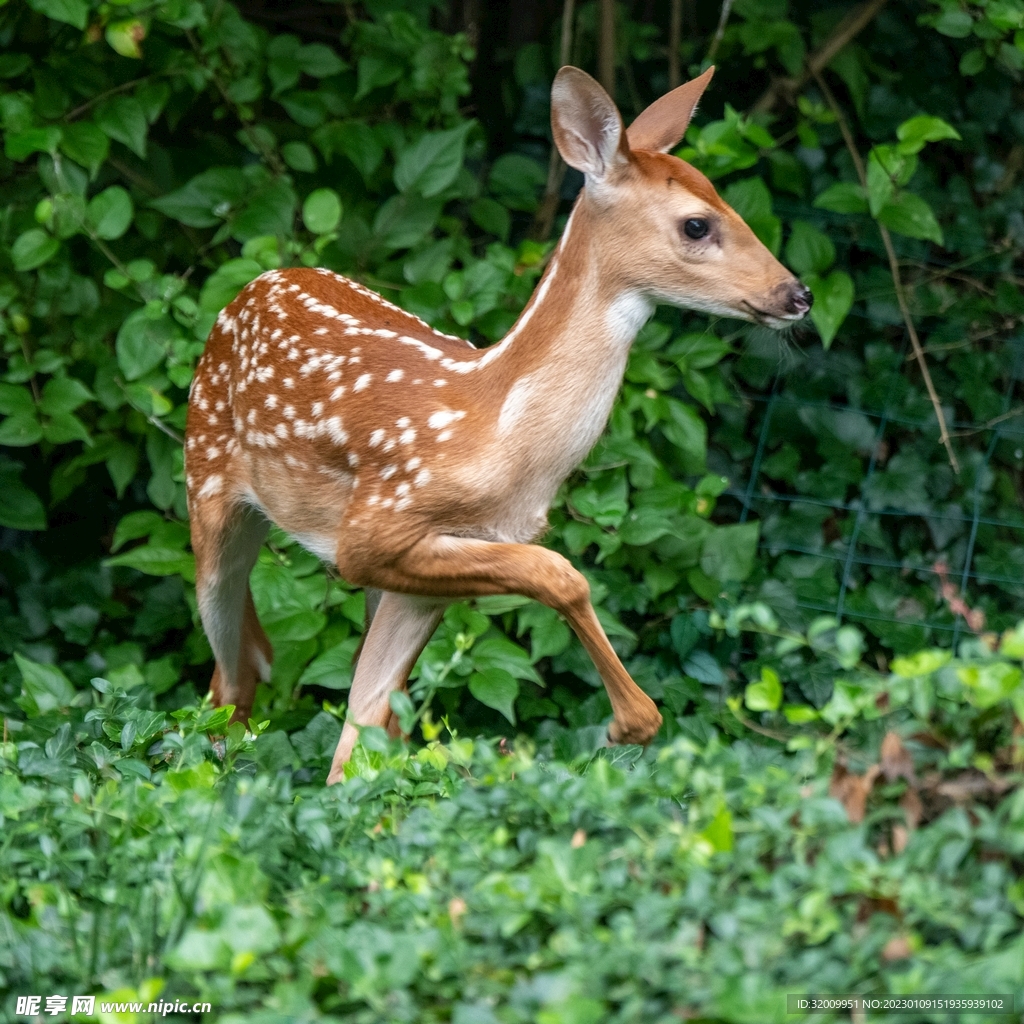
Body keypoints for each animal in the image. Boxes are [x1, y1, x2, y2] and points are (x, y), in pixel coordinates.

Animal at [184, 65, 811, 784]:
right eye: (698, 224)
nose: (797, 294)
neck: (500, 433)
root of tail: (251, 285)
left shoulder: (424, 578)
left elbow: (360, 733)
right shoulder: (372, 532)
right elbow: (562, 573)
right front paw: (630, 722)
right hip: (207, 487)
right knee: (230, 670)